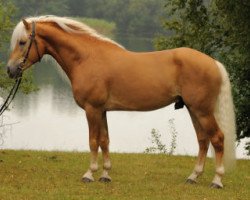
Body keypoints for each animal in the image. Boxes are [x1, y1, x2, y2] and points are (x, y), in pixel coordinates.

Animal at [6, 16, 236, 188]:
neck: (86, 58)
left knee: (217, 139)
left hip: (202, 111)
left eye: (22, 42)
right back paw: (193, 177)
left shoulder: (92, 110)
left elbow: (93, 141)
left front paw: (89, 174)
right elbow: (105, 141)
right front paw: (105, 175)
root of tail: (213, 62)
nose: (10, 70)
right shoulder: (102, 111)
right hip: (193, 110)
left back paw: (217, 180)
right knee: (203, 140)